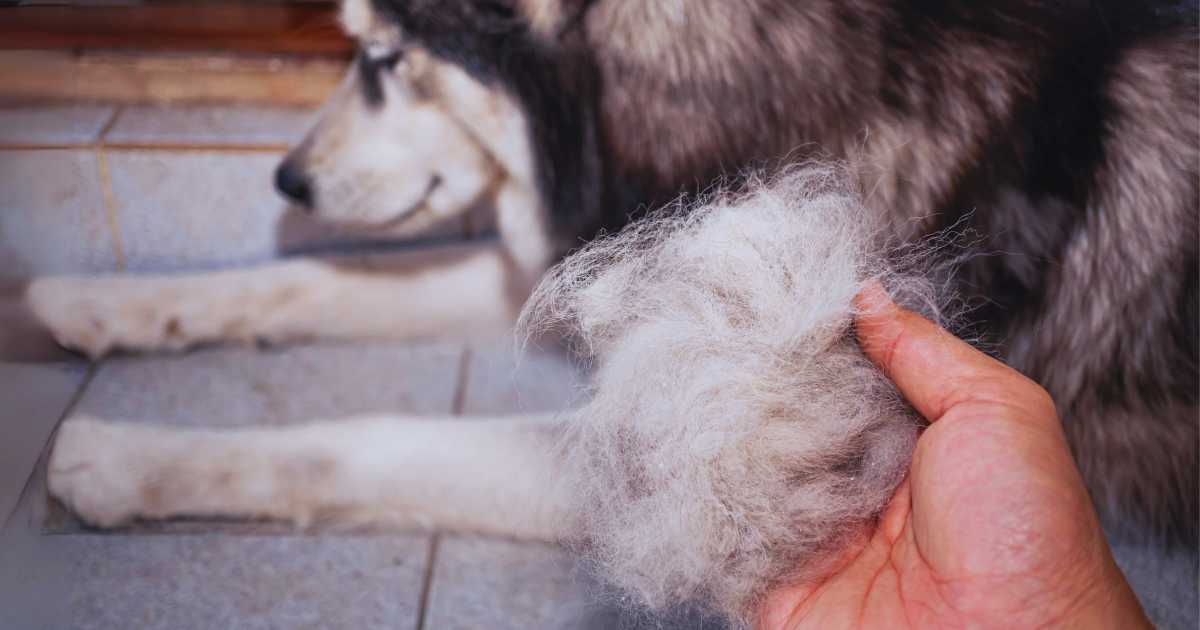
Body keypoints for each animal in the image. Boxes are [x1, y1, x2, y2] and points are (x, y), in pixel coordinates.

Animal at [37, 0, 1200, 595]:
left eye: (388, 56)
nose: (287, 182)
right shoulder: (603, 261)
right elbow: (316, 278)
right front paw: (100, 306)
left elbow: (368, 442)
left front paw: (122, 457)